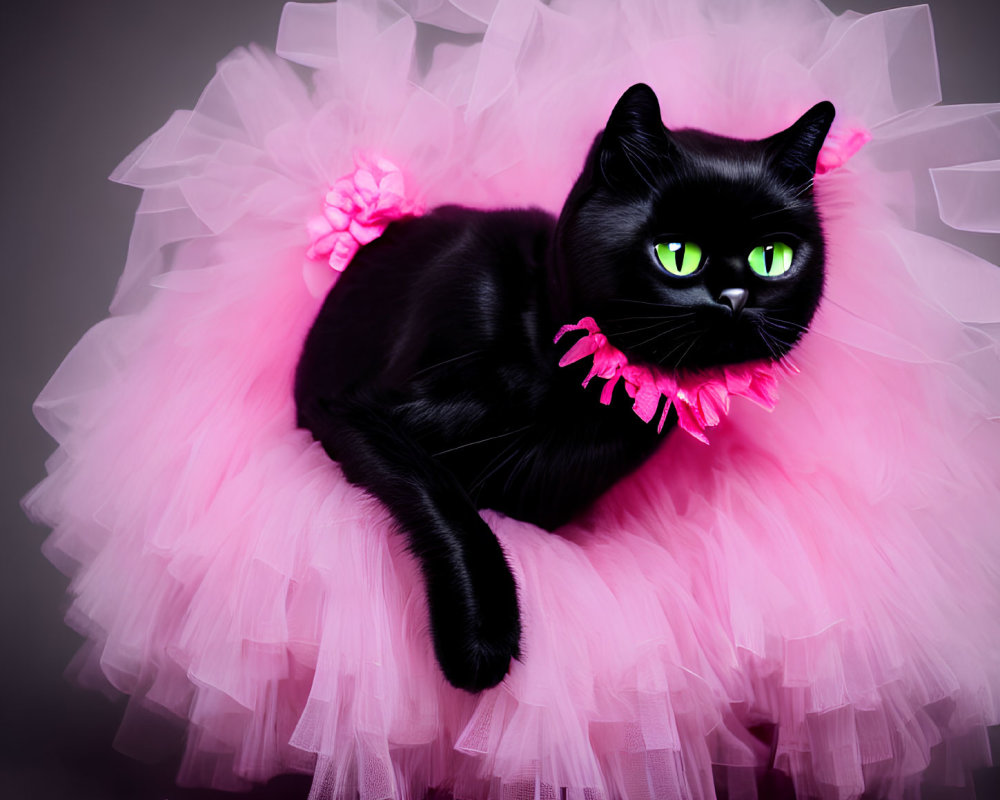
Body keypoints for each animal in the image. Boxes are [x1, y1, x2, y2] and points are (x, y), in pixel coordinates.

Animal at [294, 83, 836, 692]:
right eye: (677, 254)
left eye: (772, 258)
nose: (735, 297)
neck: (571, 382)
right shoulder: (349, 410)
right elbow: (442, 496)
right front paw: (483, 637)